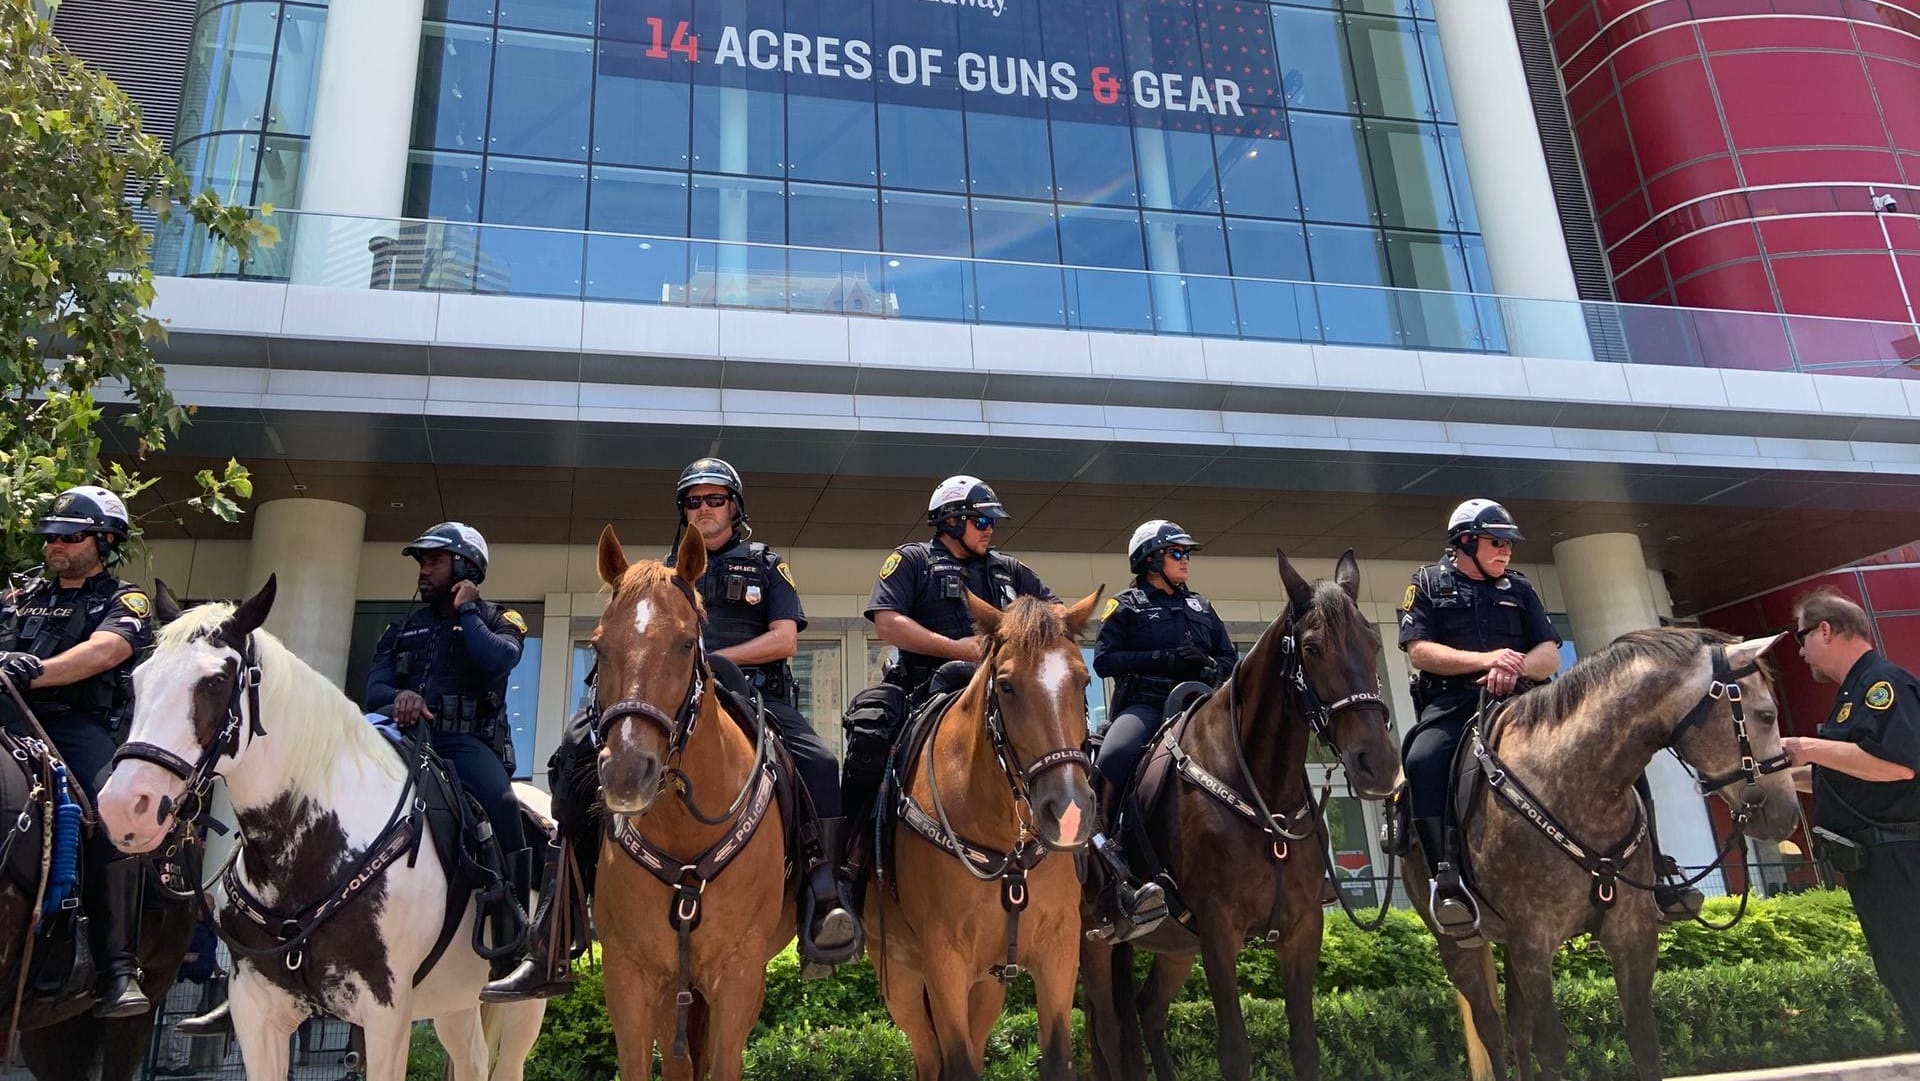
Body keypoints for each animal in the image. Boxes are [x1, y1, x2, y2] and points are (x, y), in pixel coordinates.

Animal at [92, 579, 545, 1081]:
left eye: (214, 681)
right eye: (137, 680)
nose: (124, 807)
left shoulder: (385, 1012)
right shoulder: (256, 1011)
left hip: (521, 1006)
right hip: (454, 1001)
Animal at [587, 526, 791, 1081]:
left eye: (684, 644)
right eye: (598, 645)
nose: (627, 772)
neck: (685, 829)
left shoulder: (738, 973)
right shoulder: (631, 975)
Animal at [867, 591, 1105, 1081]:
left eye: (1083, 679)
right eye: (1008, 686)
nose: (1070, 812)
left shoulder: (1058, 949)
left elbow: (1057, 1057)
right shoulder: (944, 961)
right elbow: (955, 1062)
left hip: (987, 985)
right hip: (901, 980)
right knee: (928, 1057)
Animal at [1090, 549, 1405, 1081]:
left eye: (1373, 642)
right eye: (1312, 648)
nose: (1378, 765)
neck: (1261, 791)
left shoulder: (1301, 928)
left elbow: (1305, 1045)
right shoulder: (1219, 930)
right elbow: (1235, 1051)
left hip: (1176, 948)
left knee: (1148, 1012)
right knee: (1105, 1036)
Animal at [1413, 629, 1797, 1075]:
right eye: (1767, 715)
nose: (1788, 814)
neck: (1578, 785)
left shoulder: (1632, 933)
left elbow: (1643, 1039)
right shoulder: (1532, 940)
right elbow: (1551, 1048)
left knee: (1518, 1027)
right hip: (1458, 945)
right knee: (1491, 1028)